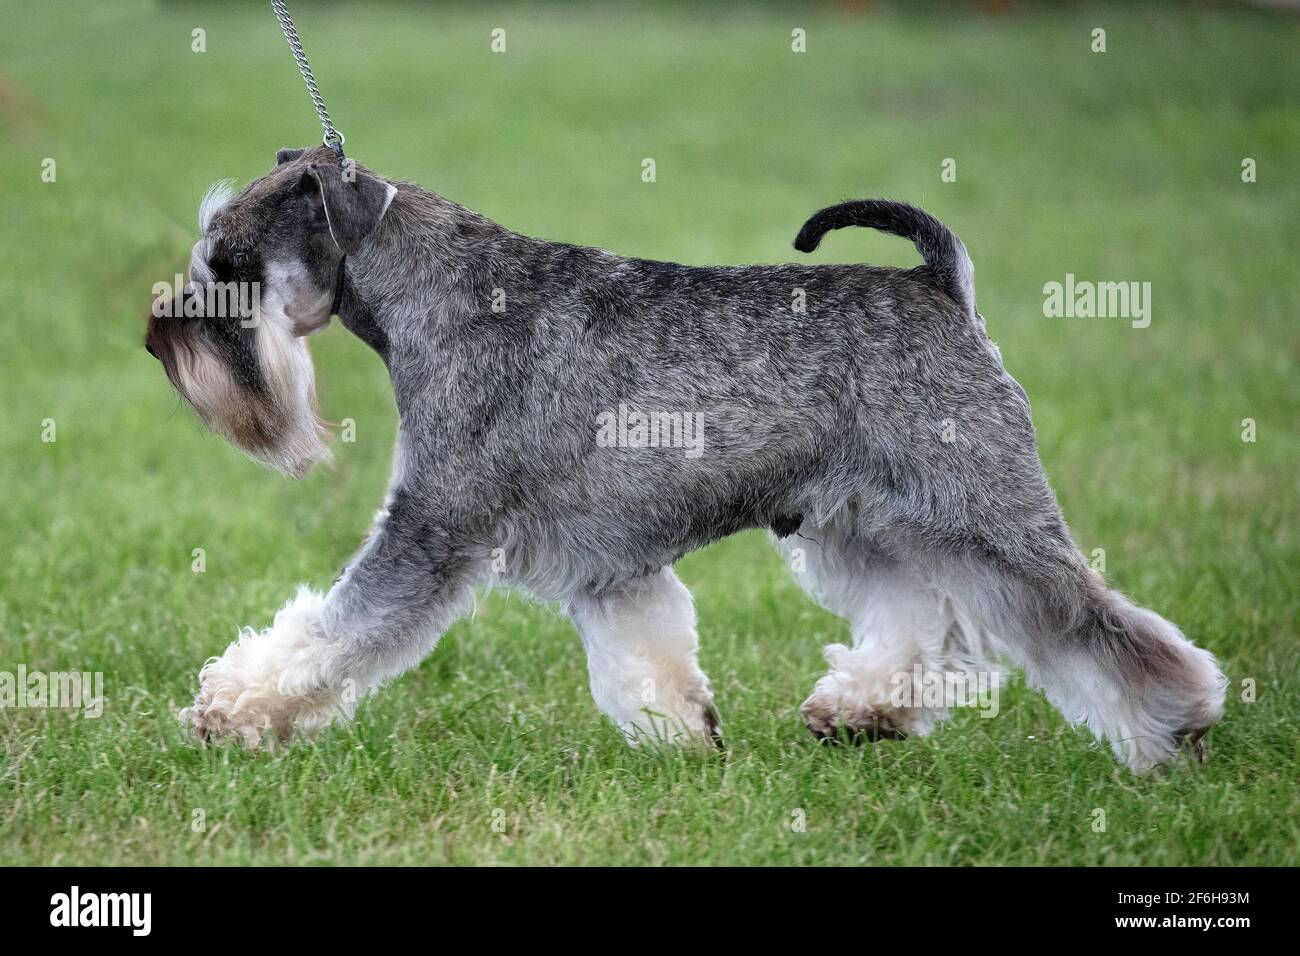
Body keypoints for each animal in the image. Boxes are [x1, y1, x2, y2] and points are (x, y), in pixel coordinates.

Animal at [147, 147, 1222, 770]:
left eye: (229, 265)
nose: (160, 340)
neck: (437, 294)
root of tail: (940, 285)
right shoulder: (608, 559)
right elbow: (645, 654)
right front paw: (685, 735)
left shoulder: (432, 528)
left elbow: (332, 633)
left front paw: (232, 710)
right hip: (865, 523)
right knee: (924, 620)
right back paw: (863, 712)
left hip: (984, 513)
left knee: (1091, 621)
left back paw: (1176, 726)